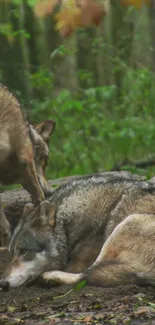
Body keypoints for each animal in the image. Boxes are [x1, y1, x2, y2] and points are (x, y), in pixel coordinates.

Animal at [0, 173, 155, 290]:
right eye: (12, 253)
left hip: (126, 223)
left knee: (87, 275)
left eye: (23, 252)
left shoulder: (79, 263)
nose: (3, 283)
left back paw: (50, 277)